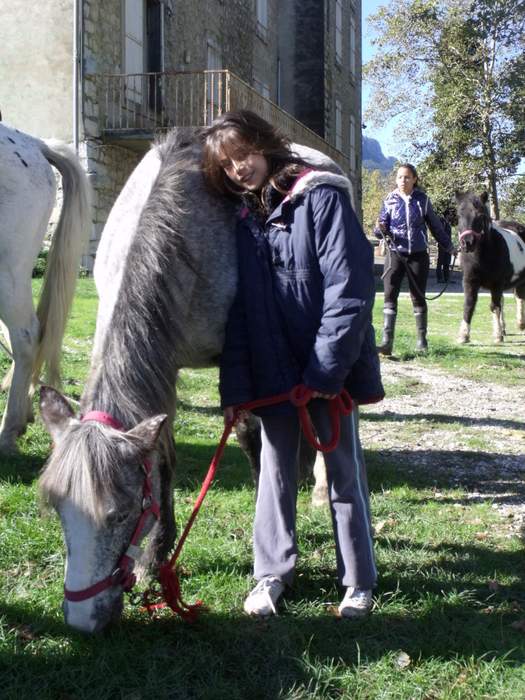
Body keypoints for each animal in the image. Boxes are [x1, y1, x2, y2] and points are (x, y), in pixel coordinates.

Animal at [38, 128, 345, 632]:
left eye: (122, 514)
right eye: (58, 508)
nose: (83, 620)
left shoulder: (236, 354)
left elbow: (249, 432)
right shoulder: (165, 367)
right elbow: (163, 458)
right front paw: (153, 561)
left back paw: (317, 486)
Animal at [456, 191, 525, 344]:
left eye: (480, 216)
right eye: (459, 215)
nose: (467, 242)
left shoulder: (497, 283)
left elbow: (494, 306)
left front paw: (498, 336)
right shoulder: (470, 281)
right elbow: (468, 305)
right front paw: (463, 335)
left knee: (519, 298)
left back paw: (520, 323)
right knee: (505, 300)